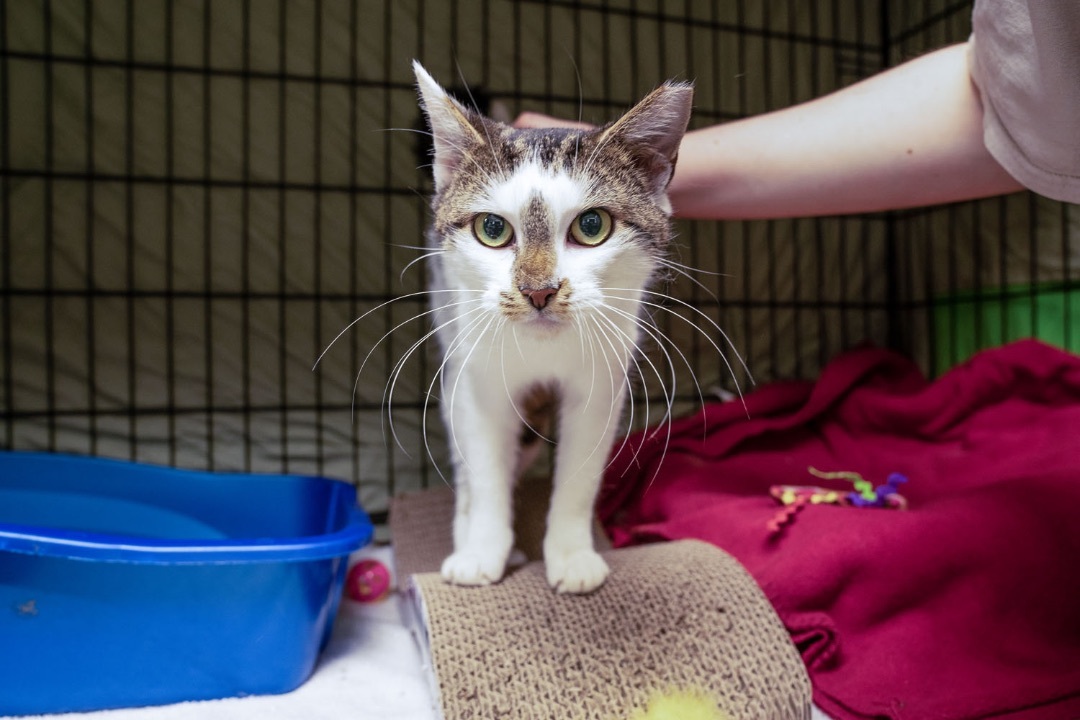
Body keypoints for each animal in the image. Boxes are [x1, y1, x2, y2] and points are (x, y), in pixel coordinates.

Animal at [412, 60, 691, 591]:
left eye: (592, 226)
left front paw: (571, 555)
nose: (538, 290)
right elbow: (484, 464)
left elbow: (580, 470)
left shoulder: (602, 380)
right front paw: (482, 550)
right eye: (491, 229)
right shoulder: (478, 377)